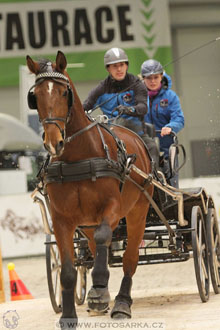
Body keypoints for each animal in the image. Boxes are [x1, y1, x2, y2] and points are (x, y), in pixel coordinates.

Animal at [26, 51, 153, 328]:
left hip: (137, 212)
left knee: (129, 259)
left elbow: (106, 237)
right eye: (35, 95)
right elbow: (67, 270)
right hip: (86, 225)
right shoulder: (62, 220)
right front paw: (68, 315)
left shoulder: (112, 209)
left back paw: (121, 302)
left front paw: (99, 287)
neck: (78, 156)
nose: (54, 142)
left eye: (64, 92)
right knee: (94, 250)